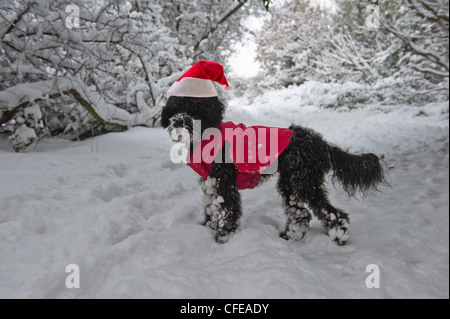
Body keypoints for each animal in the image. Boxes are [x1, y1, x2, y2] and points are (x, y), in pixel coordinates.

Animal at [160, 96, 384, 246]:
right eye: (174, 108)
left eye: (195, 108)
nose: (179, 121)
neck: (206, 136)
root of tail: (323, 144)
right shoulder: (210, 184)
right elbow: (210, 208)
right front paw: (206, 228)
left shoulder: (224, 184)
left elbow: (227, 211)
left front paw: (223, 237)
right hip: (291, 182)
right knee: (301, 214)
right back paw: (291, 235)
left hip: (306, 183)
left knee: (332, 213)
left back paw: (339, 236)